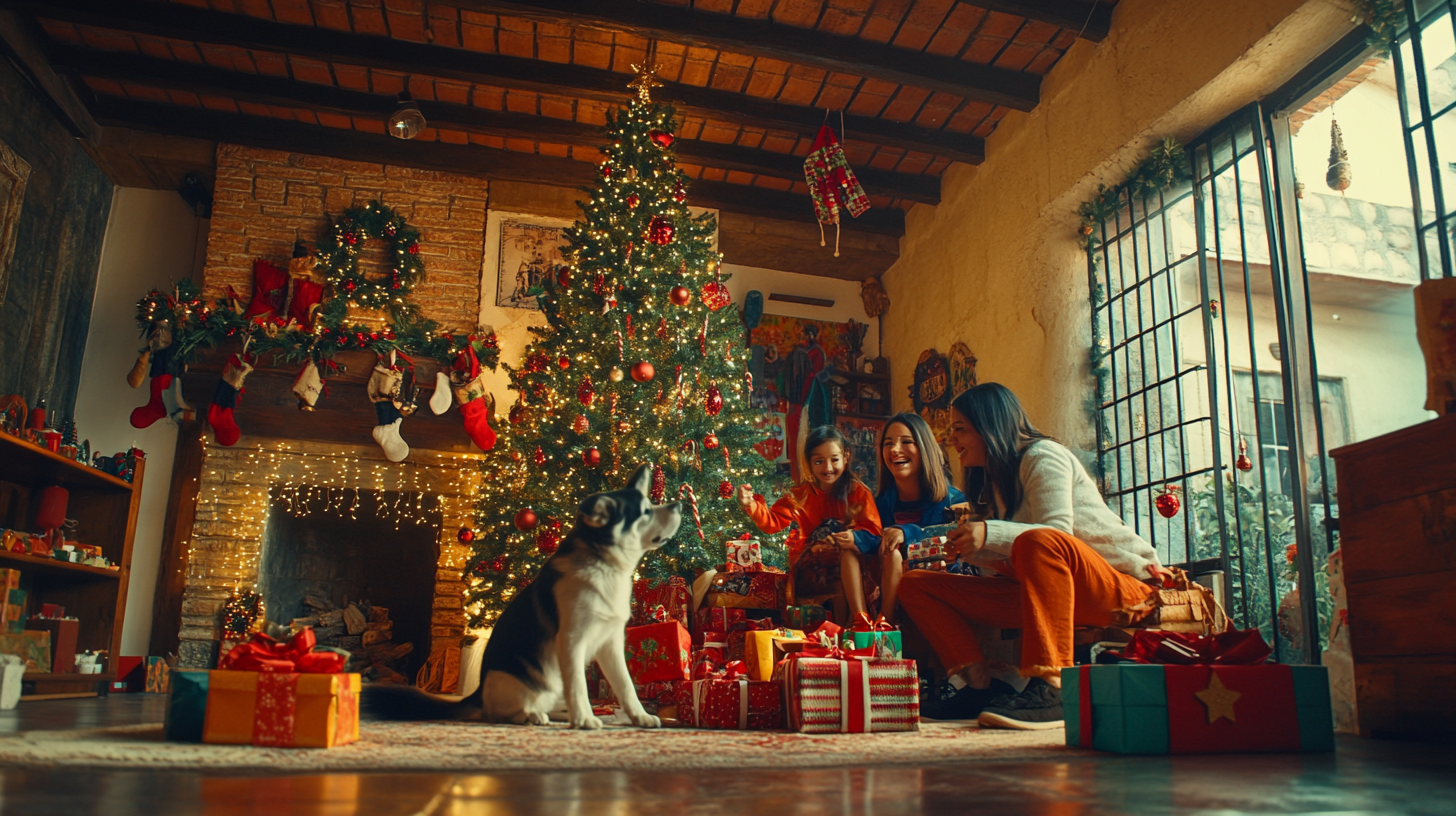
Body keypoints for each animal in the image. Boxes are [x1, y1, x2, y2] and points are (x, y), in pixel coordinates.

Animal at [364, 463, 681, 728]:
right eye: (645, 512)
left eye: (651, 504)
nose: (678, 504)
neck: (604, 565)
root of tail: (477, 693)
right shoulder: (571, 641)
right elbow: (579, 686)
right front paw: (584, 720)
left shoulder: (611, 644)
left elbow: (625, 686)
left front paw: (639, 717)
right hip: (524, 681)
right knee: (501, 712)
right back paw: (532, 715)